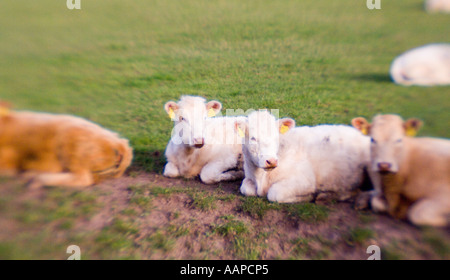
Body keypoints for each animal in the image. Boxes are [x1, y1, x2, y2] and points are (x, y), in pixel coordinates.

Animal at [236, 110, 380, 205]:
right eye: (253, 138)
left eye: (276, 137)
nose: (271, 161)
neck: (261, 178)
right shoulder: (248, 177)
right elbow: (245, 189)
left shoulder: (305, 181)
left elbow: (274, 194)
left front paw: (309, 197)